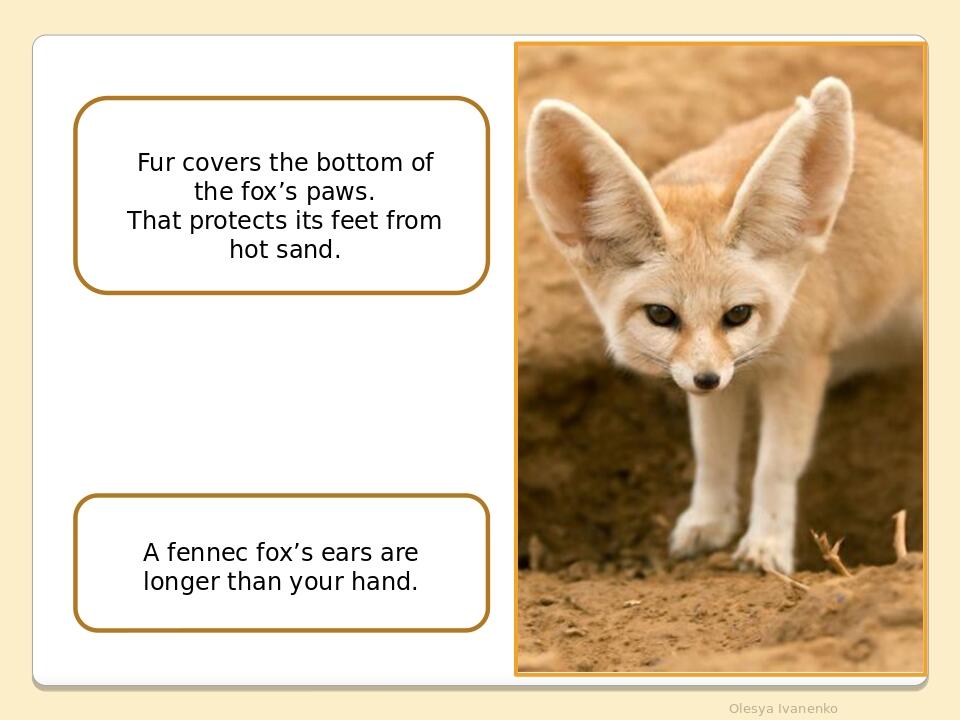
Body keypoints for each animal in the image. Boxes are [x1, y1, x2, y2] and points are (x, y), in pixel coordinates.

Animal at [525, 78, 922, 574]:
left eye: (738, 314)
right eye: (661, 315)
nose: (707, 378)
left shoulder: (799, 365)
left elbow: (775, 465)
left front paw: (767, 544)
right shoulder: (716, 379)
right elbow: (711, 454)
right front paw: (709, 521)